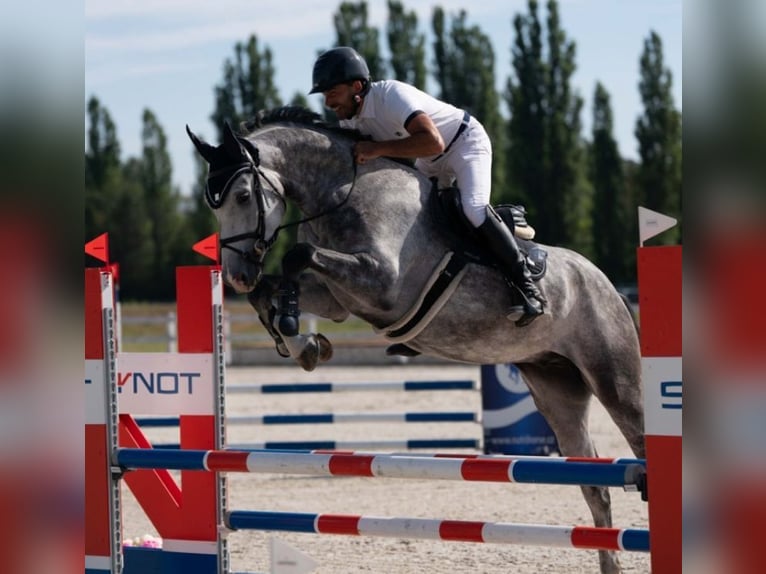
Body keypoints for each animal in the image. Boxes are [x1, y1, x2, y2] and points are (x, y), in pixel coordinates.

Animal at [188, 108, 648, 574]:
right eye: (213, 205)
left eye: (243, 195)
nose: (236, 275)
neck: (342, 190)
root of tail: (605, 283)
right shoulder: (339, 298)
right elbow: (276, 288)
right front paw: (302, 342)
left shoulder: (382, 284)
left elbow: (295, 258)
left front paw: (295, 330)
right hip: (556, 389)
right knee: (595, 487)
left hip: (614, 379)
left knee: (636, 435)